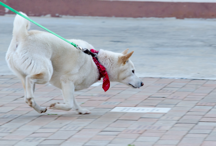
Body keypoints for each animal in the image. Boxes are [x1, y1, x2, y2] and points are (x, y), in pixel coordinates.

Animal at [5, 13, 143, 114]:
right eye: (133, 71)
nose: (142, 83)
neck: (98, 62)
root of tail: (23, 36)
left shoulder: (68, 86)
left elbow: (74, 102)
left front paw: (81, 110)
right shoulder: (67, 81)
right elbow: (69, 104)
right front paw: (57, 106)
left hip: (27, 74)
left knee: (27, 92)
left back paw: (37, 107)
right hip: (46, 73)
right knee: (30, 80)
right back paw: (32, 100)